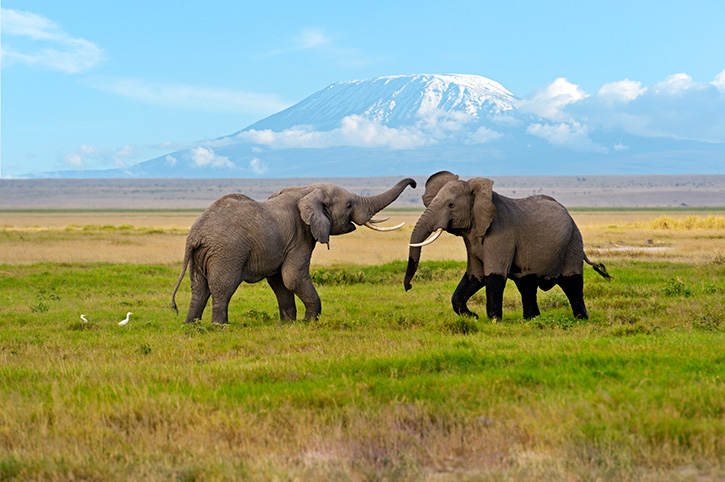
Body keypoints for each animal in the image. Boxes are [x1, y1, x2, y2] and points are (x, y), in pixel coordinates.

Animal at [172, 178, 416, 324]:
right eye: (348, 205)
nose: (414, 183)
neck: (306, 190)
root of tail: (195, 235)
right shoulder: (300, 236)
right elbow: (293, 277)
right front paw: (310, 322)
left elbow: (279, 282)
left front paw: (288, 324)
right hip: (227, 253)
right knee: (223, 287)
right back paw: (220, 326)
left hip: (200, 255)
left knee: (199, 289)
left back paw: (191, 326)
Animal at [403, 171, 610, 320]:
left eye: (451, 205)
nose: (409, 287)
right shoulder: (471, 237)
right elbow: (474, 276)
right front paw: (473, 317)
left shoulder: (500, 234)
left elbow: (494, 276)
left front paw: (493, 321)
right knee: (527, 285)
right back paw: (531, 320)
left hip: (573, 243)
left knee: (572, 284)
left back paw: (581, 319)